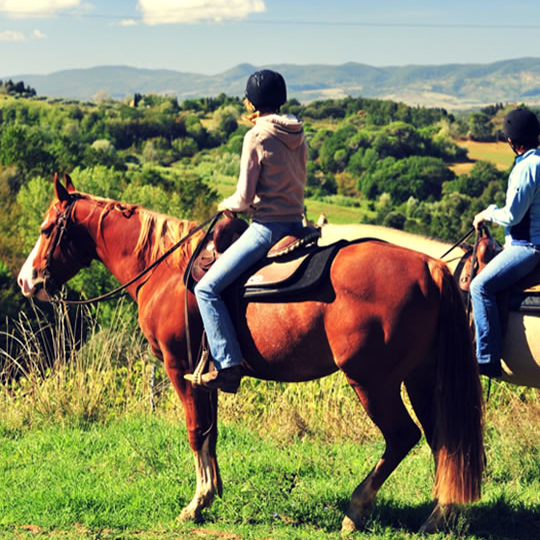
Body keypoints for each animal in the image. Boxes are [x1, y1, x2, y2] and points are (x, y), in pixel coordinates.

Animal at [17, 176, 486, 532]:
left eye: (46, 229)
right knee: (443, 439)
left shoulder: (178, 367)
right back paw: (438, 516)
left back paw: (356, 510)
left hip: (372, 381)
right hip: (420, 376)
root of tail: (430, 268)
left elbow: (195, 431)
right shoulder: (205, 375)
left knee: (403, 436)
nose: (26, 281)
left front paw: (197, 502)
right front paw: (212, 492)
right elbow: (211, 431)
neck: (167, 270)